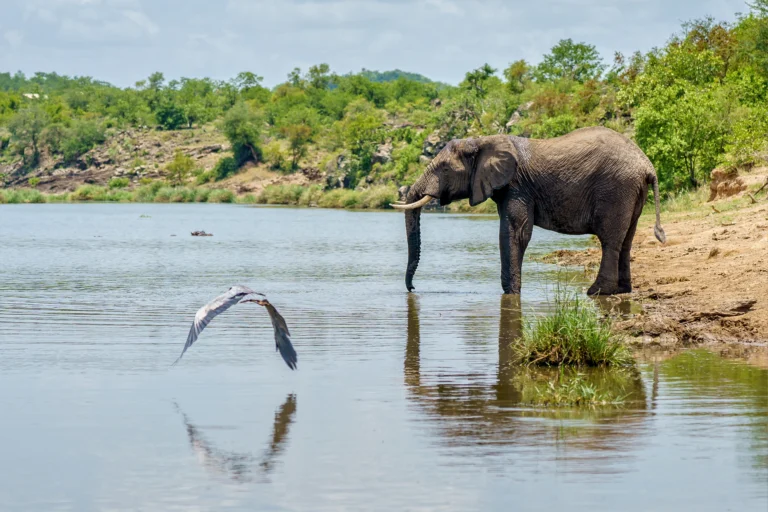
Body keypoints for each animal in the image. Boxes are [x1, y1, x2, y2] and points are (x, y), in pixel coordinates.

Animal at [392, 127, 666, 295]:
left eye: (445, 169)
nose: (413, 290)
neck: (484, 140)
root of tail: (647, 165)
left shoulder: (517, 186)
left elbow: (515, 232)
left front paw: (511, 294)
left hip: (616, 189)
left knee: (610, 240)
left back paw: (596, 292)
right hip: (631, 192)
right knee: (626, 239)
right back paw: (622, 290)